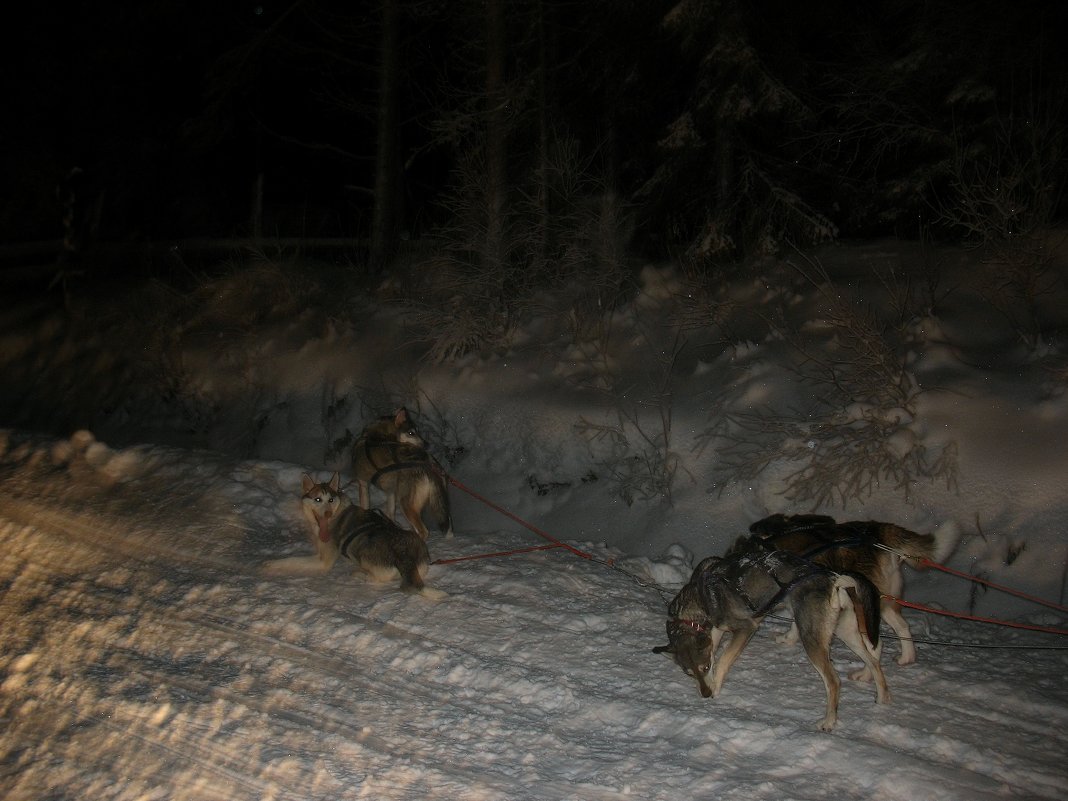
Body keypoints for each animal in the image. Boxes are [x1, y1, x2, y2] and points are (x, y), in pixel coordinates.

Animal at [263, 474, 446, 598]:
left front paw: (270, 564)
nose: (327, 513)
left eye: (330, 500)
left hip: (364, 551)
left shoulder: (323, 561)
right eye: (317, 499)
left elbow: (292, 560)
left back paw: (359, 573)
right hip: (415, 546)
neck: (337, 513)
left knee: (378, 578)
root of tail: (403, 553)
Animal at [350, 410, 450, 542]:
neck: (375, 436)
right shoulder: (391, 491)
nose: (426, 444)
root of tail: (428, 463)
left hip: (406, 504)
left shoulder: (363, 484)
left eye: (417, 431)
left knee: (423, 532)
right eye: (411, 433)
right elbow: (390, 514)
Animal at [649, 540, 892, 734]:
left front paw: (716, 688)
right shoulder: (715, 629)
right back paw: (881, 700)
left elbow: (723, 661)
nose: (706, 695)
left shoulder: (746, 628)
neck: (701, 597)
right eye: (689, 673)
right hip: (847, 633)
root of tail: (833, 577)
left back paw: (829, 722)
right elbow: (715, 649)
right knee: (874, 662)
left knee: (834, 681)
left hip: (813, 641)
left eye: (704, 667)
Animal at [747, 514, 956, 670]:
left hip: (862, 602)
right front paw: (788, 639)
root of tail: (876, 531)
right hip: (881, 602)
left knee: (876, 644)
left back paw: (864, 675)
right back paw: (907, 658)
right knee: (903, 626)